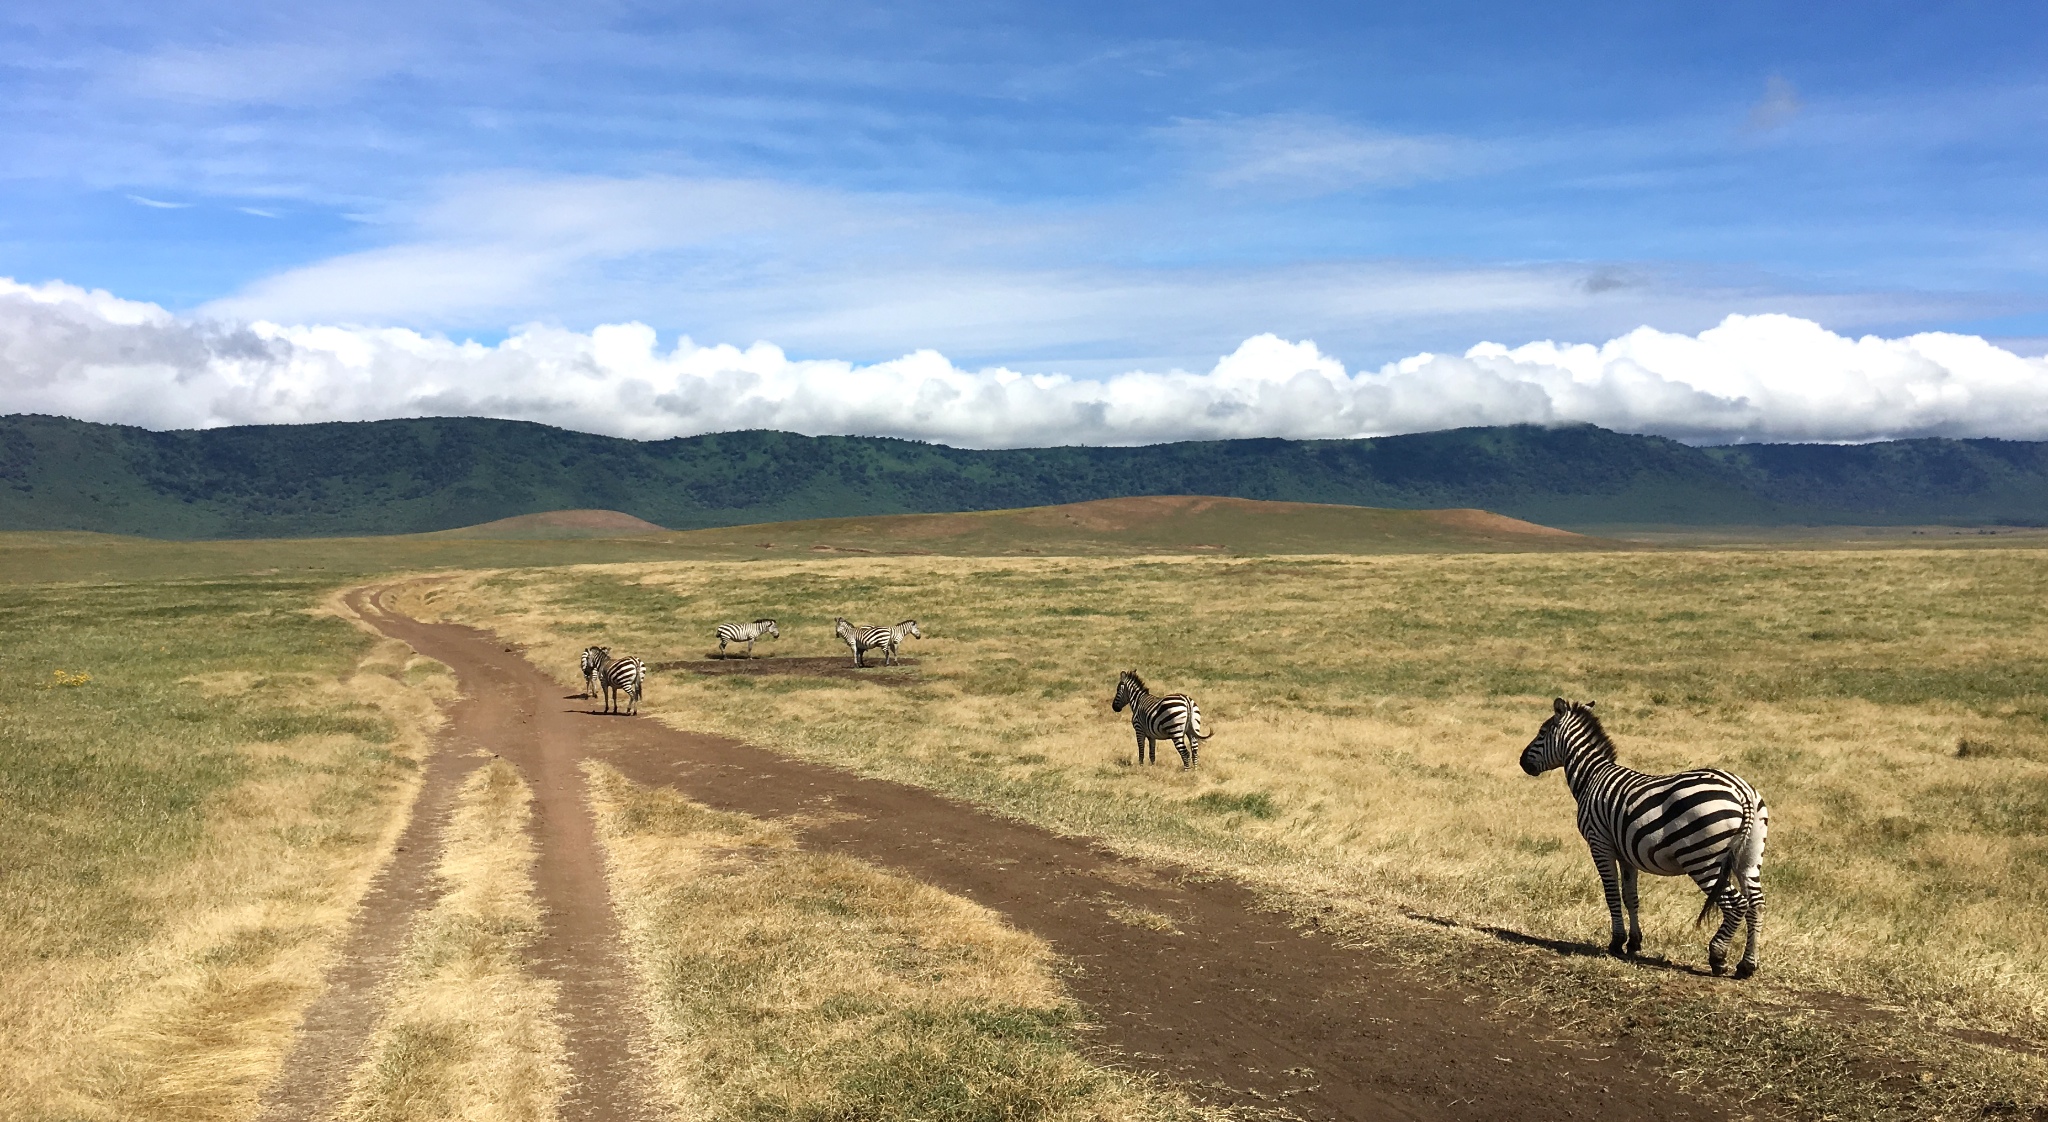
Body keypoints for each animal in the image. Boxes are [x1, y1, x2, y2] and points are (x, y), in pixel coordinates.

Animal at [1515, 700, 1769, 974]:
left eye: (1542, 732)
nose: (1521, 762)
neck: (1592, 777)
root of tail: (1741, 790)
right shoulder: (1627, 853)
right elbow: (1630, 897)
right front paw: (1634, 943)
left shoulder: (1600, 844)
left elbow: (1612, 894)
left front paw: (1616, 943)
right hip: (1749, 856)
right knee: (1756, 903)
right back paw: (1746, 966)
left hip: (1702, 860)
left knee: (1737, 904)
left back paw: (1718, 957)